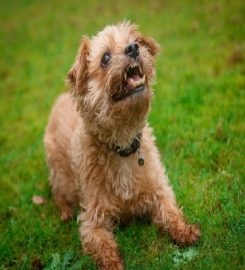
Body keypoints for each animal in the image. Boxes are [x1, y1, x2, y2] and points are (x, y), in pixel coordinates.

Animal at [44, 22, 200, 268]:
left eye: (134, 41)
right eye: (105, 58)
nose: (133, 48)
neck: (122, 148)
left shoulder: (160, 191)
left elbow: (171, 212)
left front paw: (185, 230)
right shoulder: (92, 221)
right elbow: (104, 247)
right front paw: (114, 264)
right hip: (57, 171)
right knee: (59, 194)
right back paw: (65, 211)